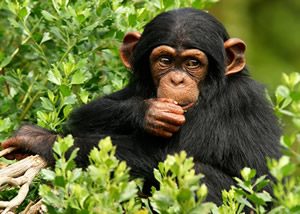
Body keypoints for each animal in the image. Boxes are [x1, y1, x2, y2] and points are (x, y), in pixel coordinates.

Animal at [1, 8, 282, 205]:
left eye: (192, 63)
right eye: (165, 60)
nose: (177, 80)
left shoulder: (233, 102)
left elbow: (173, 157)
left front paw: (39, 139)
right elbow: (86, 113)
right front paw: (149, 113)